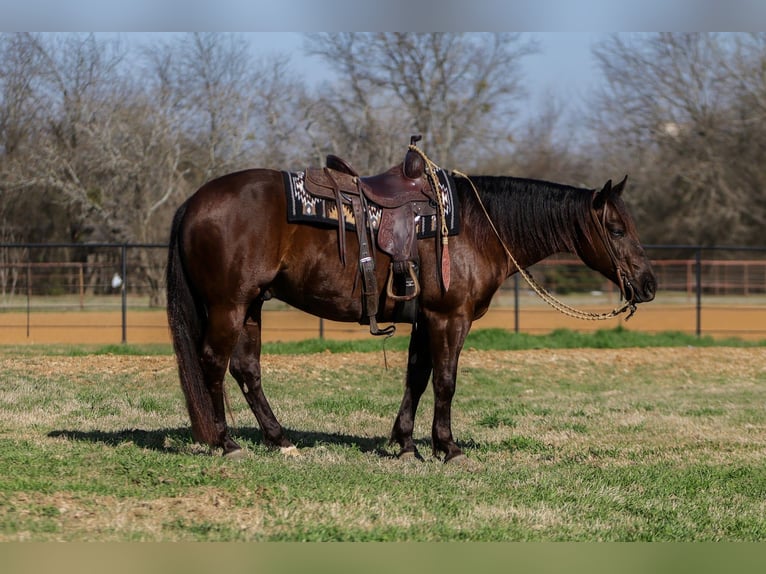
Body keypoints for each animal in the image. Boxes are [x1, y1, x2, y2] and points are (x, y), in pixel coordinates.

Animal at [166, 166, 656, 463]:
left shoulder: (425, 320)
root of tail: (194, 202)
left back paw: (280, 439)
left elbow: (417, 378)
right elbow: (445, 381)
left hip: (251, 306)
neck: (478, 227)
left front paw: (404, 444)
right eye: (616, 230)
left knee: (247, 370)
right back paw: (226, 442)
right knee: (213, 364)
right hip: (229, 306)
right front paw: (448, 447)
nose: (648, 284)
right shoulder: (449, 318)